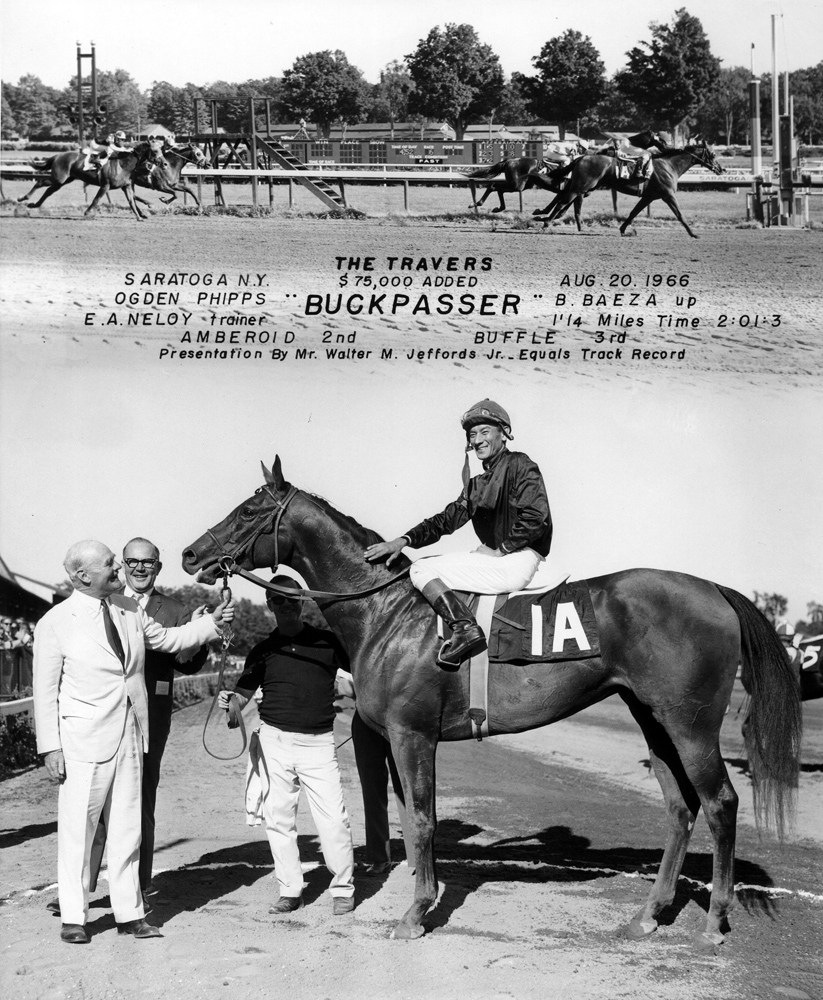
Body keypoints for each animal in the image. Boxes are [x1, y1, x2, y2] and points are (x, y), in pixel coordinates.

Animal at [17, 138, 168, 220]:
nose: (165, 164)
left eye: (161, 150)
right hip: (59, 178)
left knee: (48, 191)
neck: (123, 164)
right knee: (40, 182)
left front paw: (139, 217)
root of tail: (58, 155)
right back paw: (23, 198)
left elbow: (132, 201)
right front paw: (88, 212)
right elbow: (96, 199)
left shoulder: (126, 186)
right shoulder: (105, 185)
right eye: (155, 151)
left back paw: (33, 205)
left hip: (64, 180)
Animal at [183, 458, 800, 948]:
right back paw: (647, 915)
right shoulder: (400, 738)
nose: (190, 554)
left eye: (248, 510)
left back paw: (714, 922)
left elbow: (423, 821)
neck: (387, 612)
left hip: (690, 724)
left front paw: (414, 914)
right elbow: (412, 817)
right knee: (680, 808)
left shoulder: (411, 734)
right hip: (652, 717)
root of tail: (714, 589)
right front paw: (424, 898)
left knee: (720, 803)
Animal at [536, 140, 720, 237]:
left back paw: (542, 215)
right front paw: (693, 233)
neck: (669, 165)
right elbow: (680, 215)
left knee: (564, 200)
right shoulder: (668, 195)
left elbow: (633, 212)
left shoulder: (648, 197)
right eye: (713, 154)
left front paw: (623, 229)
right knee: (562, 202)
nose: (720, 169)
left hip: (583, 187)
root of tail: (582, 157)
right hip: (581, 186)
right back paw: (546, 223)